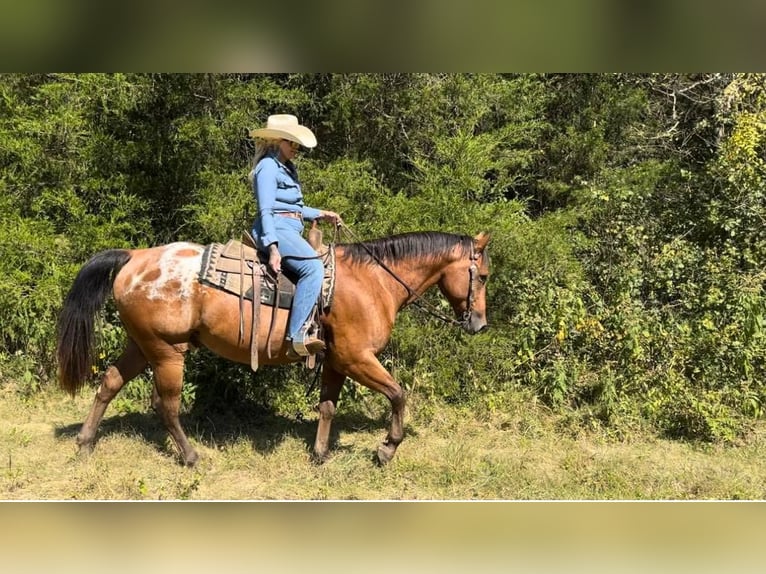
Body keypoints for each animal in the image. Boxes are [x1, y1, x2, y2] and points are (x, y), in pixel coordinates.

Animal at [57, 231, 496, 468]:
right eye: (484, 276)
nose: (479, 323)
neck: (372, 282)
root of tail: (135, 257)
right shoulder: (357, 357)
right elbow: (399, 394)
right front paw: (387, 448)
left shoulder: (336, 360)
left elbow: (327, 407)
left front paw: (320, 454)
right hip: (167, 351)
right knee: (165, 405)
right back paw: (191, 456)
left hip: (141, 344)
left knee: (109, 383)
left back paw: (85, 443)